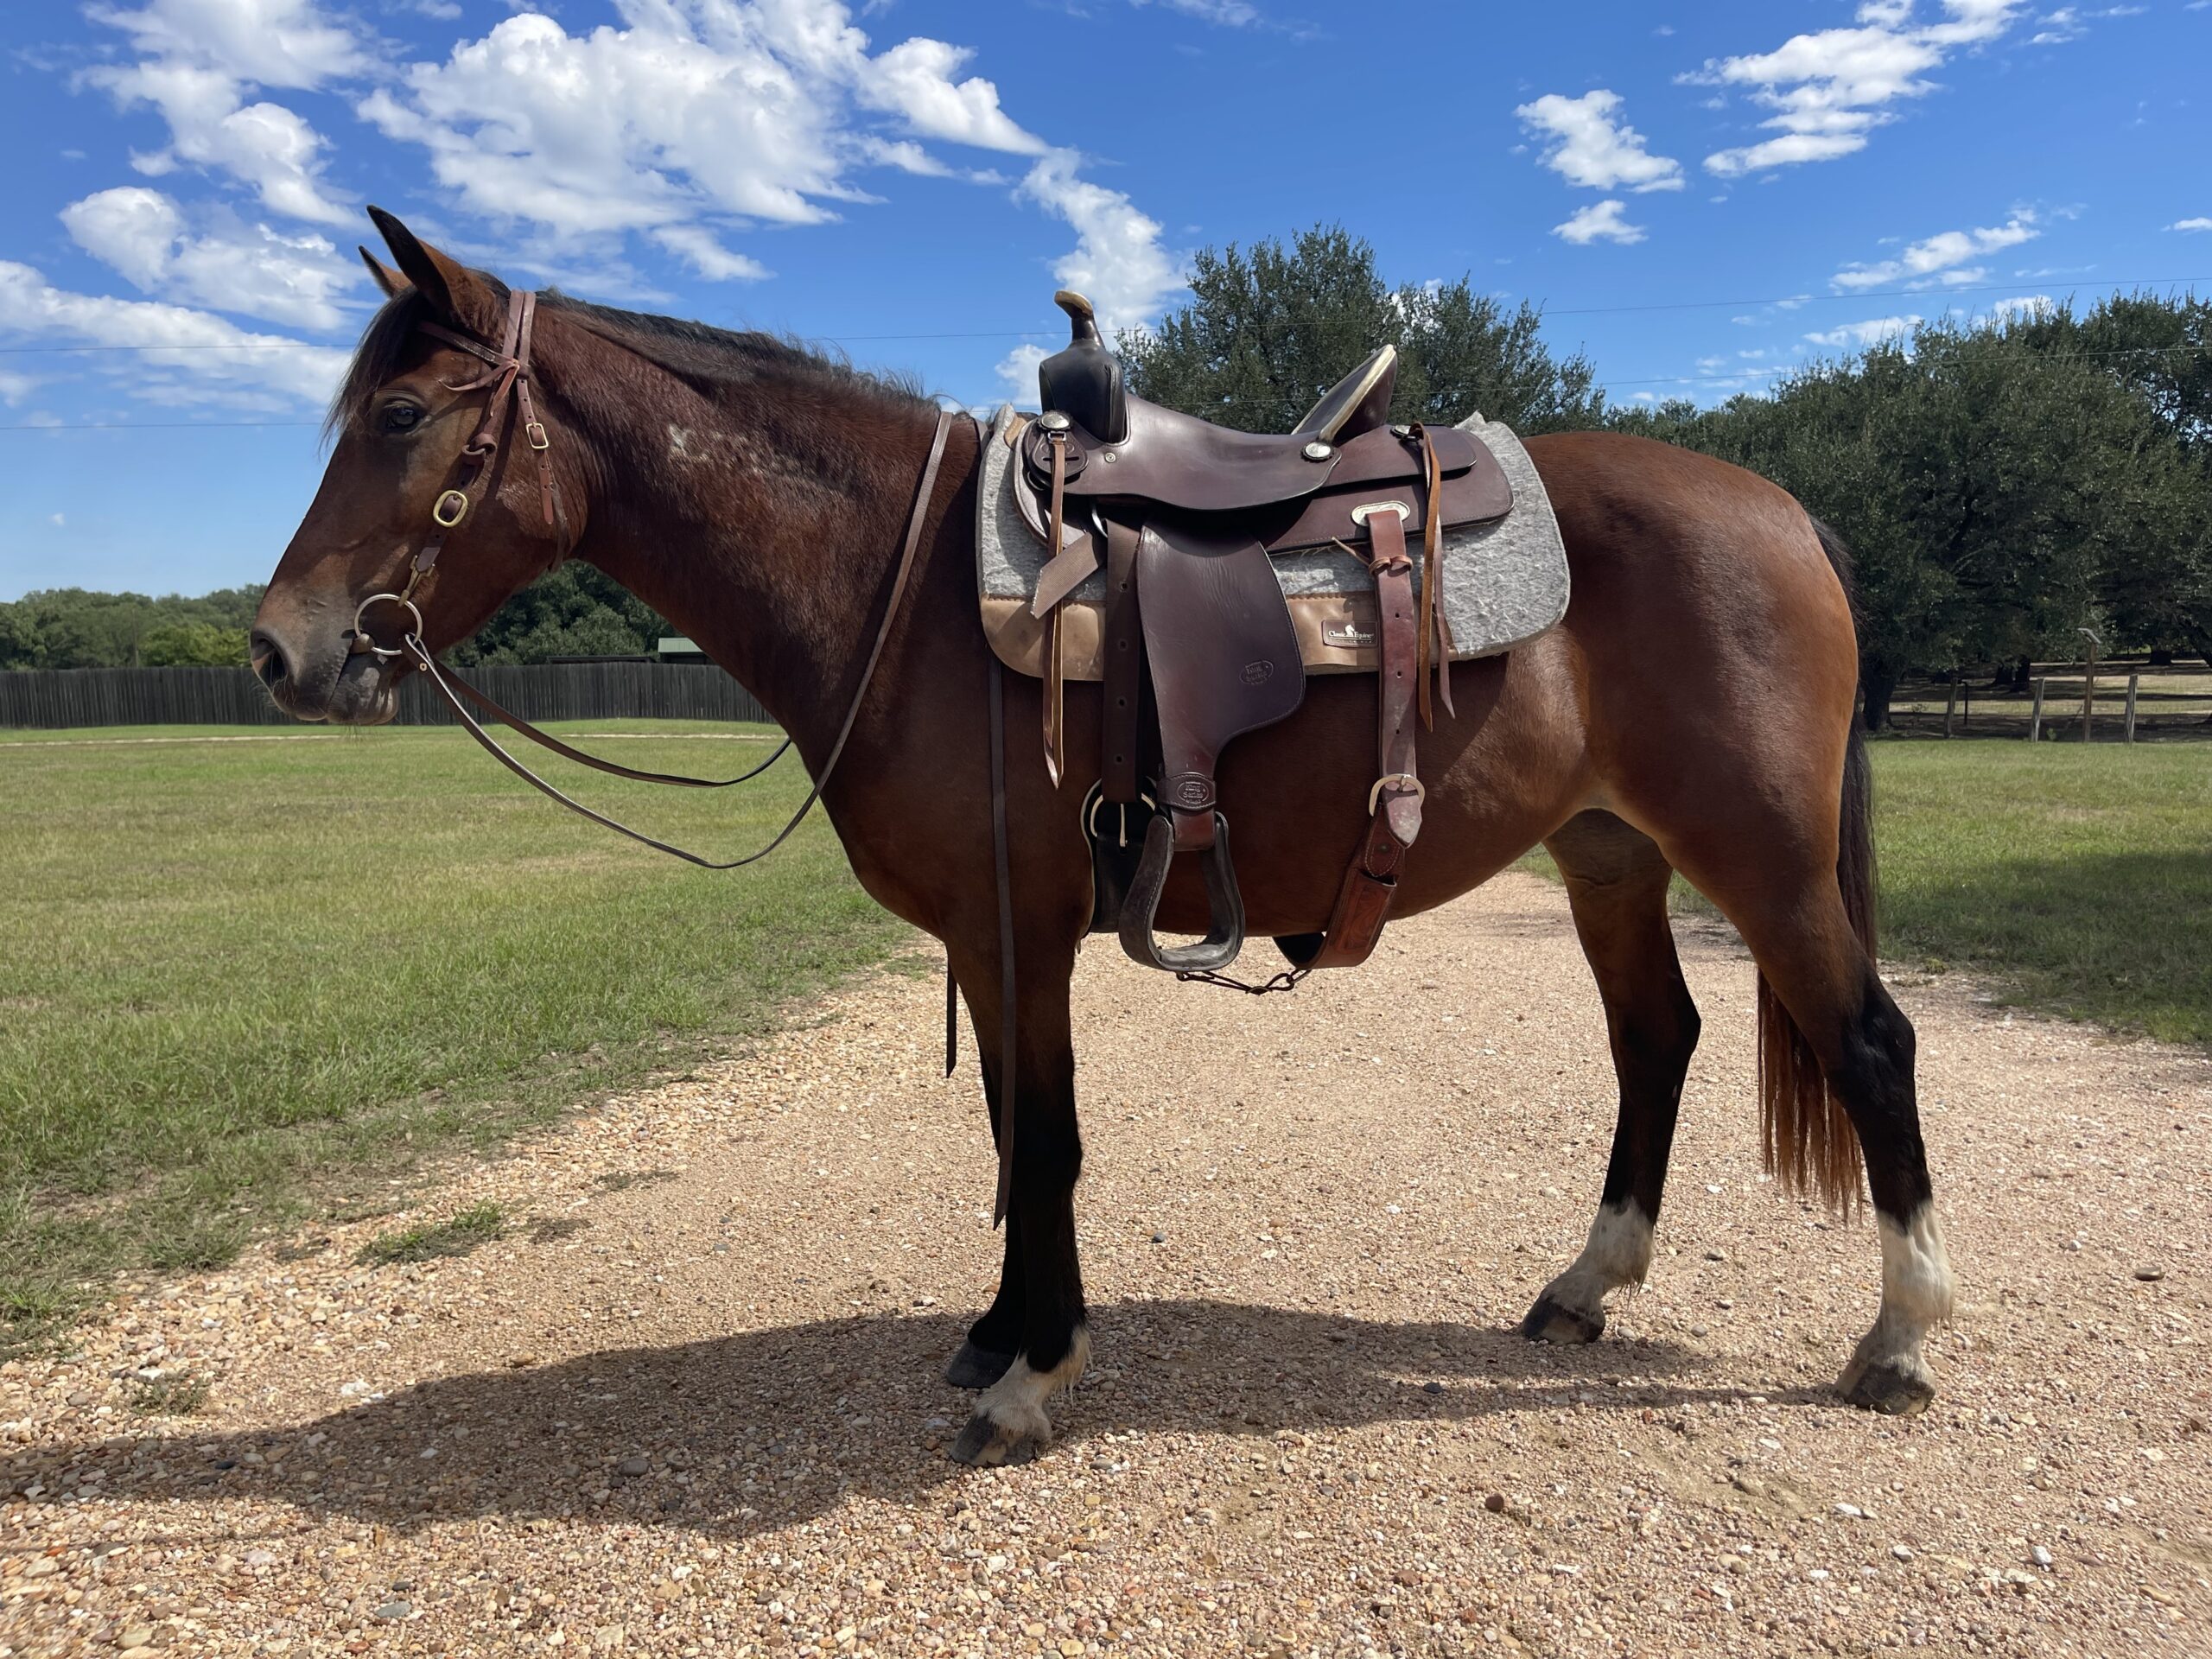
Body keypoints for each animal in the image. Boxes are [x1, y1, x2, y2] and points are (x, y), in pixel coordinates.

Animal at [252, 209, 1954, 1465]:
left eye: (399, 413)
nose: (280, 651)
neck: (900, 586)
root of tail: (1784, 512)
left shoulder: (1022, 929)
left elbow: (1050, 1140)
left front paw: (1033, 1375)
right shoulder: (986, 936)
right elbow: (1015, 1136)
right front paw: (999, 1335)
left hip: (1764, 859)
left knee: (1869, 1043)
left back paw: (1901, 1334)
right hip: (1610, 855)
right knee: (1657, 1040)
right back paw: (1586, 1287)